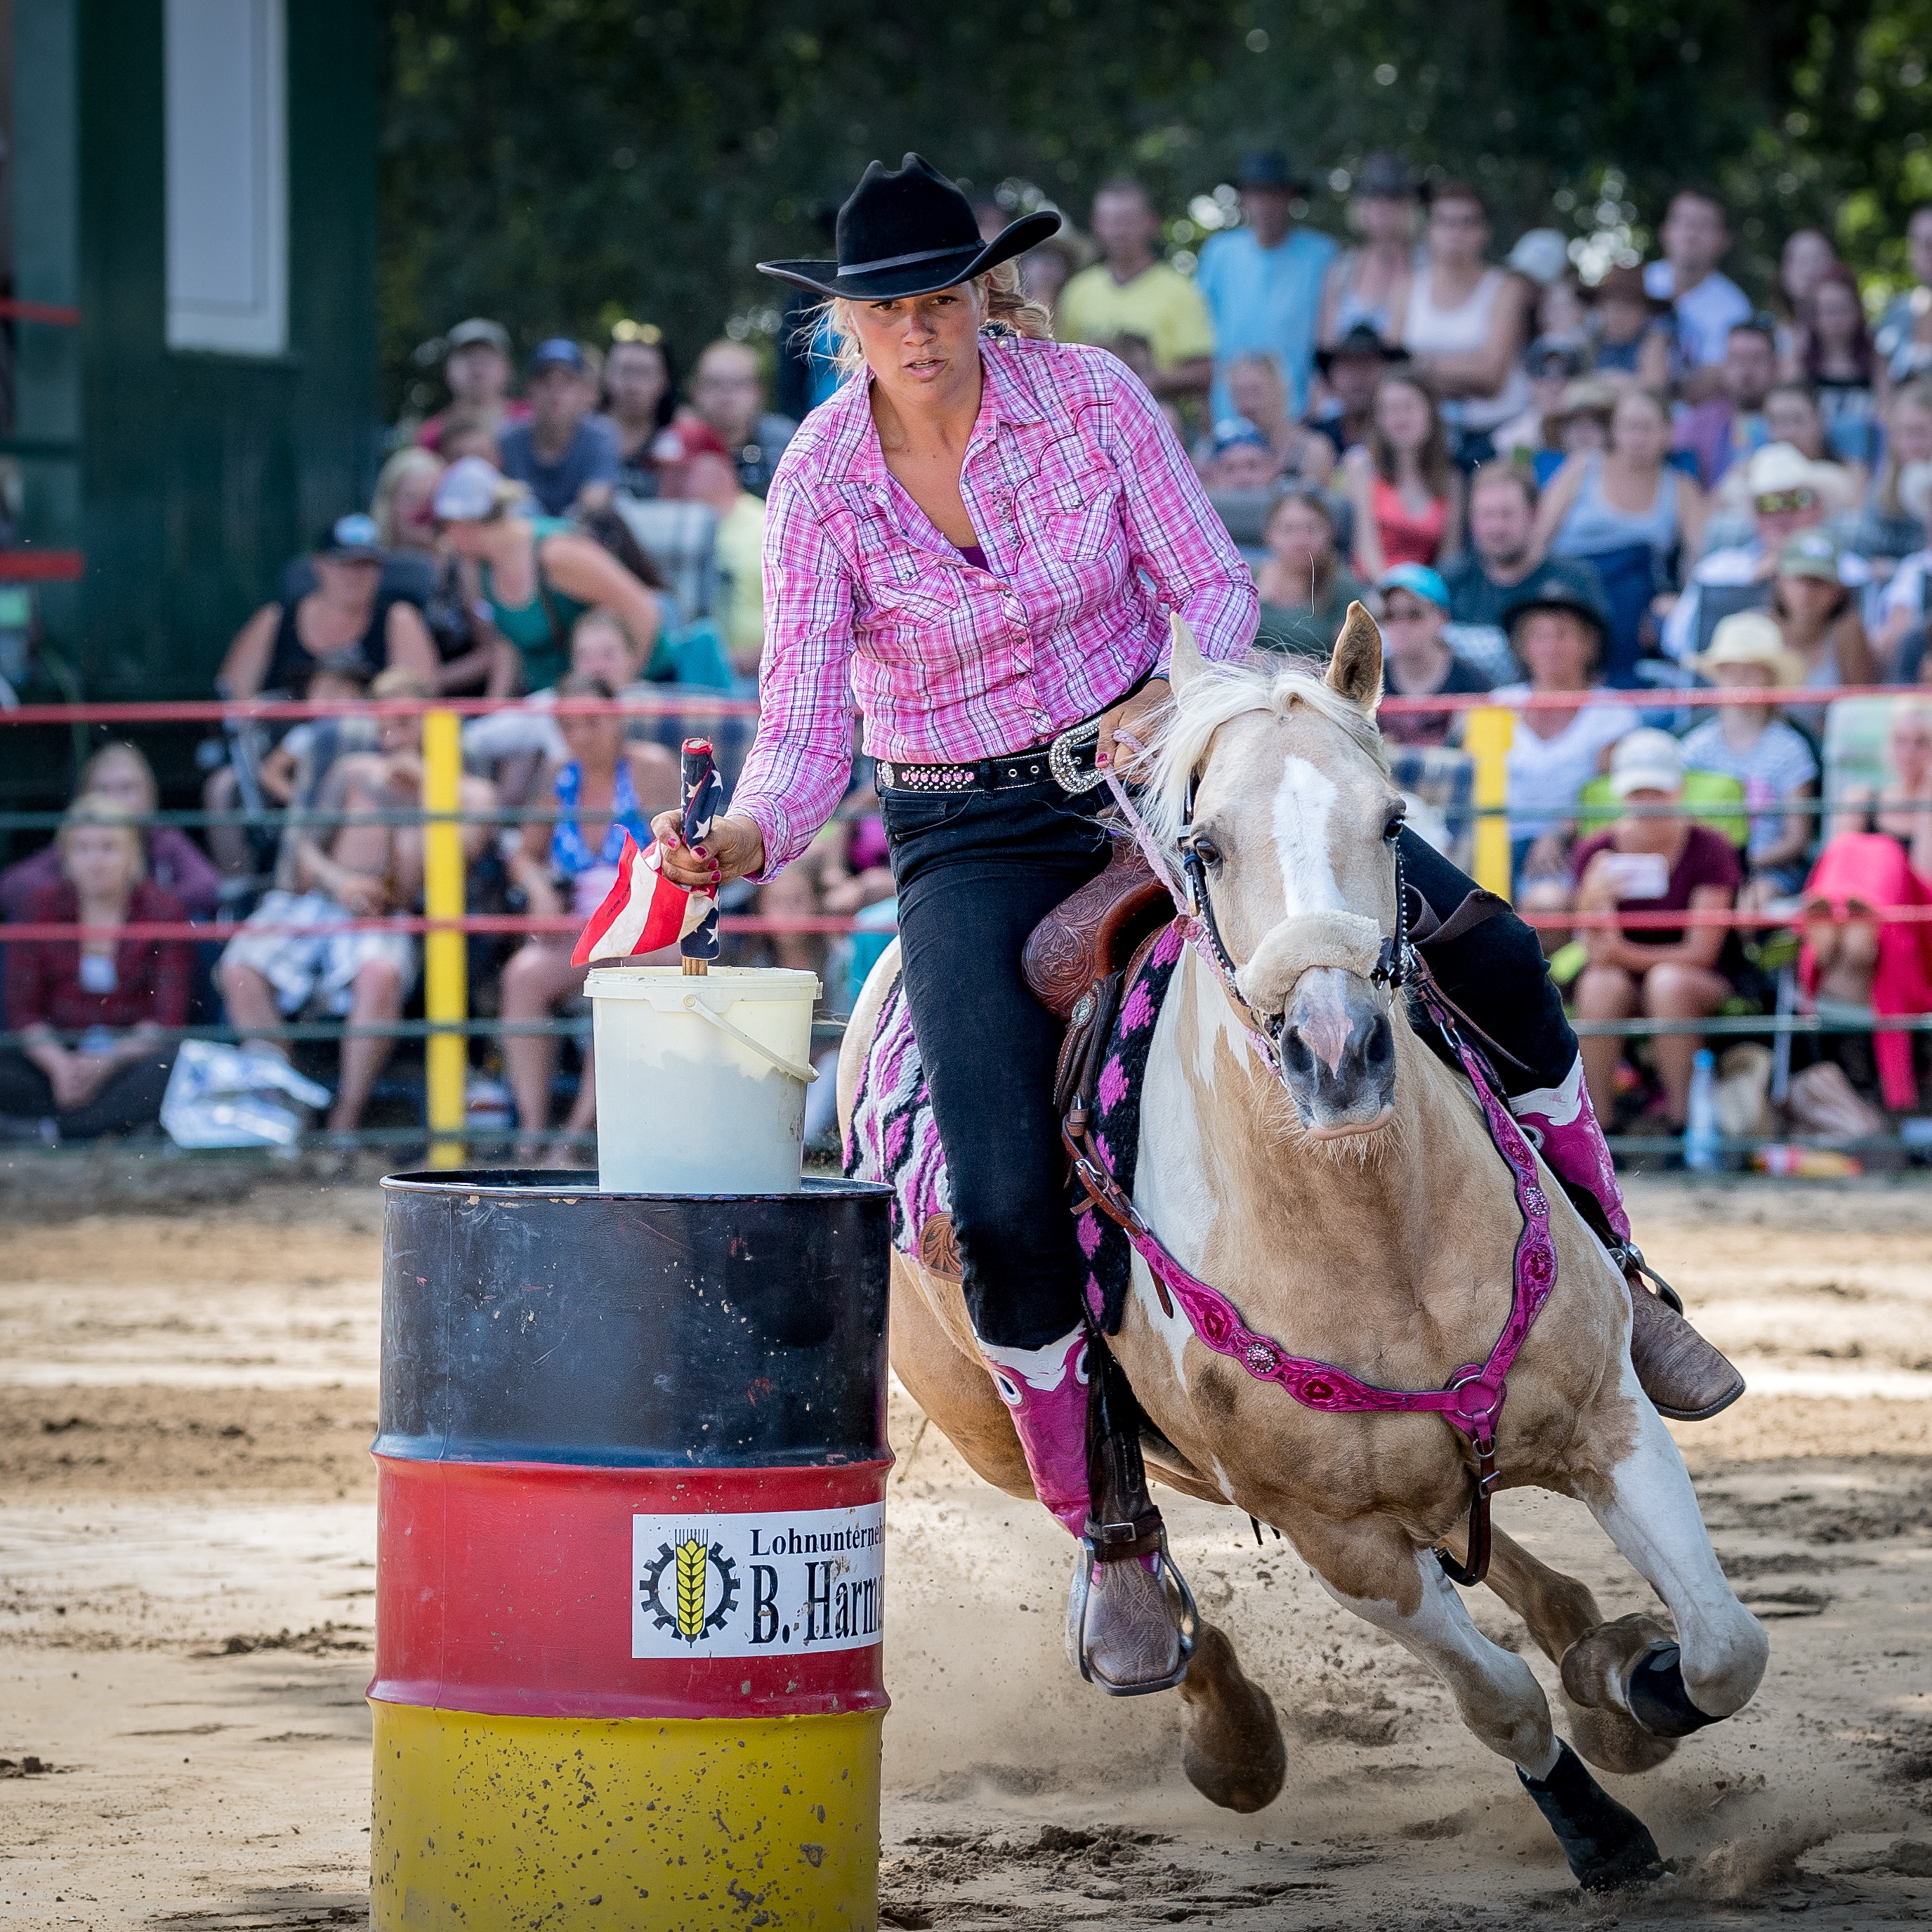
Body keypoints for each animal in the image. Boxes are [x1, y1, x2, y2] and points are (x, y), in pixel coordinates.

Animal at [838, 614, 1769, 1885]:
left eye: (1391, 819)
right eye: (1206, 846)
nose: (1336, 1055)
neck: (1380, 1240)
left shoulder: (1608, 1419)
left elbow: (1723, 1646)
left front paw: (1637, 1683)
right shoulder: (1343, 1544)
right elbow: (1497, 1700)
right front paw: (1598, 1828)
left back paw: (1589, 1633)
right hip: (1001, 1432)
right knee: (1109, 1519)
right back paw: (1215, 1714)